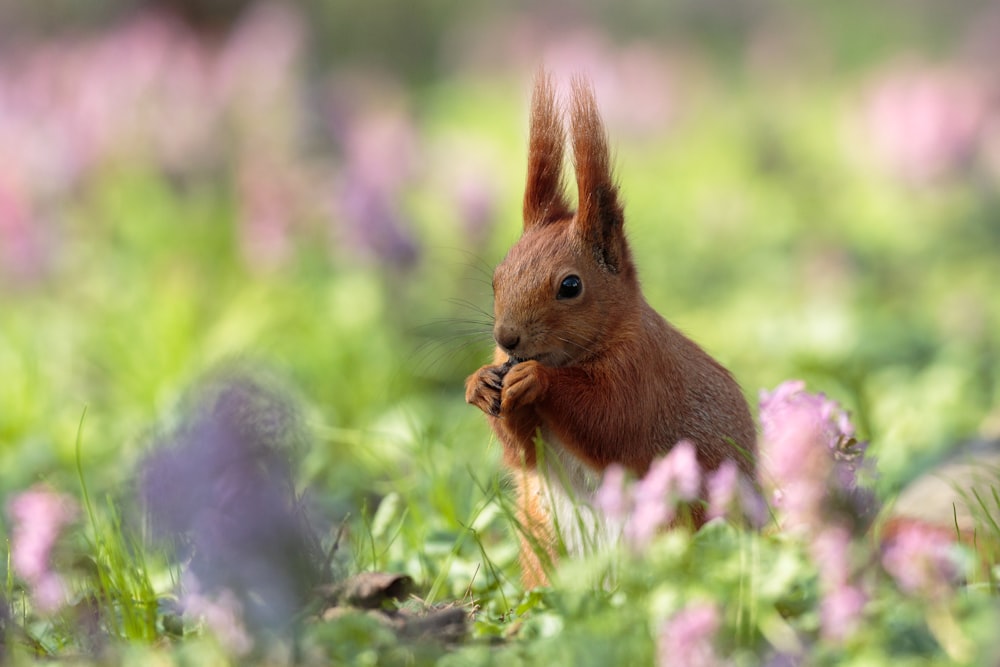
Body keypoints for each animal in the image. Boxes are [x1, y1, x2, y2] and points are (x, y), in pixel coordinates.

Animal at [464, 72, 752, 584]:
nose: (506, 338)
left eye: (571, 285)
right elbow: (523, 454)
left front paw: (536, 380)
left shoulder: (642, 376)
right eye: (497, 276)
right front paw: (479, 383)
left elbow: (609, 421)